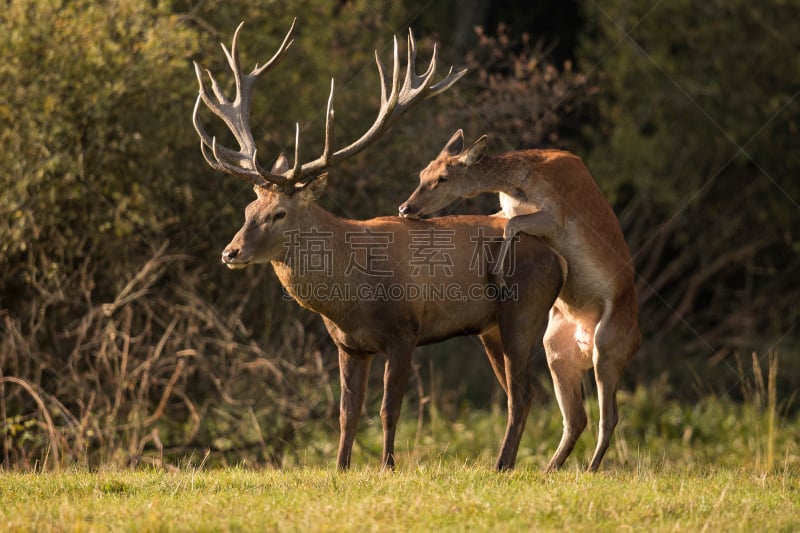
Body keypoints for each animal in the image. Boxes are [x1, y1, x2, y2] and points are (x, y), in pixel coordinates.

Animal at [192, 21, 564, 470]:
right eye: (249, 206)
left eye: (279, 213)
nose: (230, 252)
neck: (351, 296)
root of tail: (558, 259)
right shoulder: (348, 346)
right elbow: (347, 412)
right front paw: (340, 467)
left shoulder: (404, 331)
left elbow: (389, 409)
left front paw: (388, 466)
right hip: (490, 327)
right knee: (520, 395)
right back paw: (505, 463)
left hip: (523, 310)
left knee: (523, 394)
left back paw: (502, 465)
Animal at [400, 129, 644, 470]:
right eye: (423, 173)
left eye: (443, 177)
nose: (405, 208)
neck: (519, 186)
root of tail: (637, 340)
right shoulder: (507, 209)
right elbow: (501, 220)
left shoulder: (555, 217)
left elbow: (511, 226)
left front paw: (498, 275)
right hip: (555, 348)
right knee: (576, 417)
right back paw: (549, 469)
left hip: (610, 346)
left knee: (609, 417)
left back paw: (590, 469)